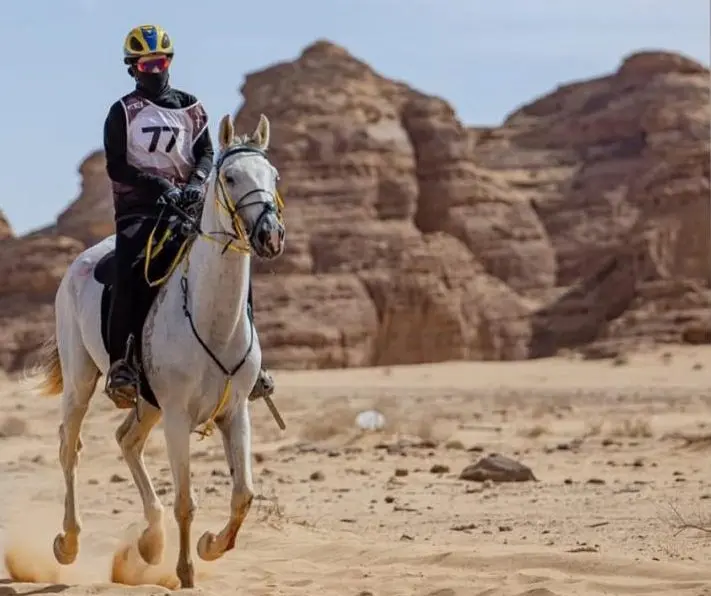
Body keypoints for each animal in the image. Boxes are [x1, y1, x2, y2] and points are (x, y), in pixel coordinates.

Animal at [34, 114, 286, 588]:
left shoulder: (235, 411)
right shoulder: (176, 415)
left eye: (274, 176)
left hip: (146, 403)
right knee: (68, 447)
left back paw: (150, 540)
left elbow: (243, 494)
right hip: (82, 383)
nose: (270, 235)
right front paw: (187, 571)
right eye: (230, 177)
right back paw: (68, 543)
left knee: (126, 439)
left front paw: (210, 545)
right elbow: (186, 500)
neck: (212, 320)